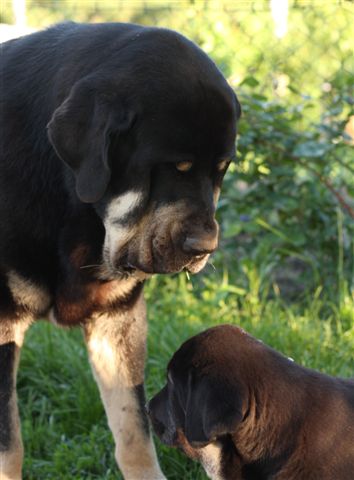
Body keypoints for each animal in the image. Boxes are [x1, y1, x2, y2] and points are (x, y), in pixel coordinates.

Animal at [0, 23, 239, 480]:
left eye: (221, 171)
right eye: (173, 167)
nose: (205, 247)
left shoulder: (119, 319)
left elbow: (134, 430)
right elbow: (10, 445)